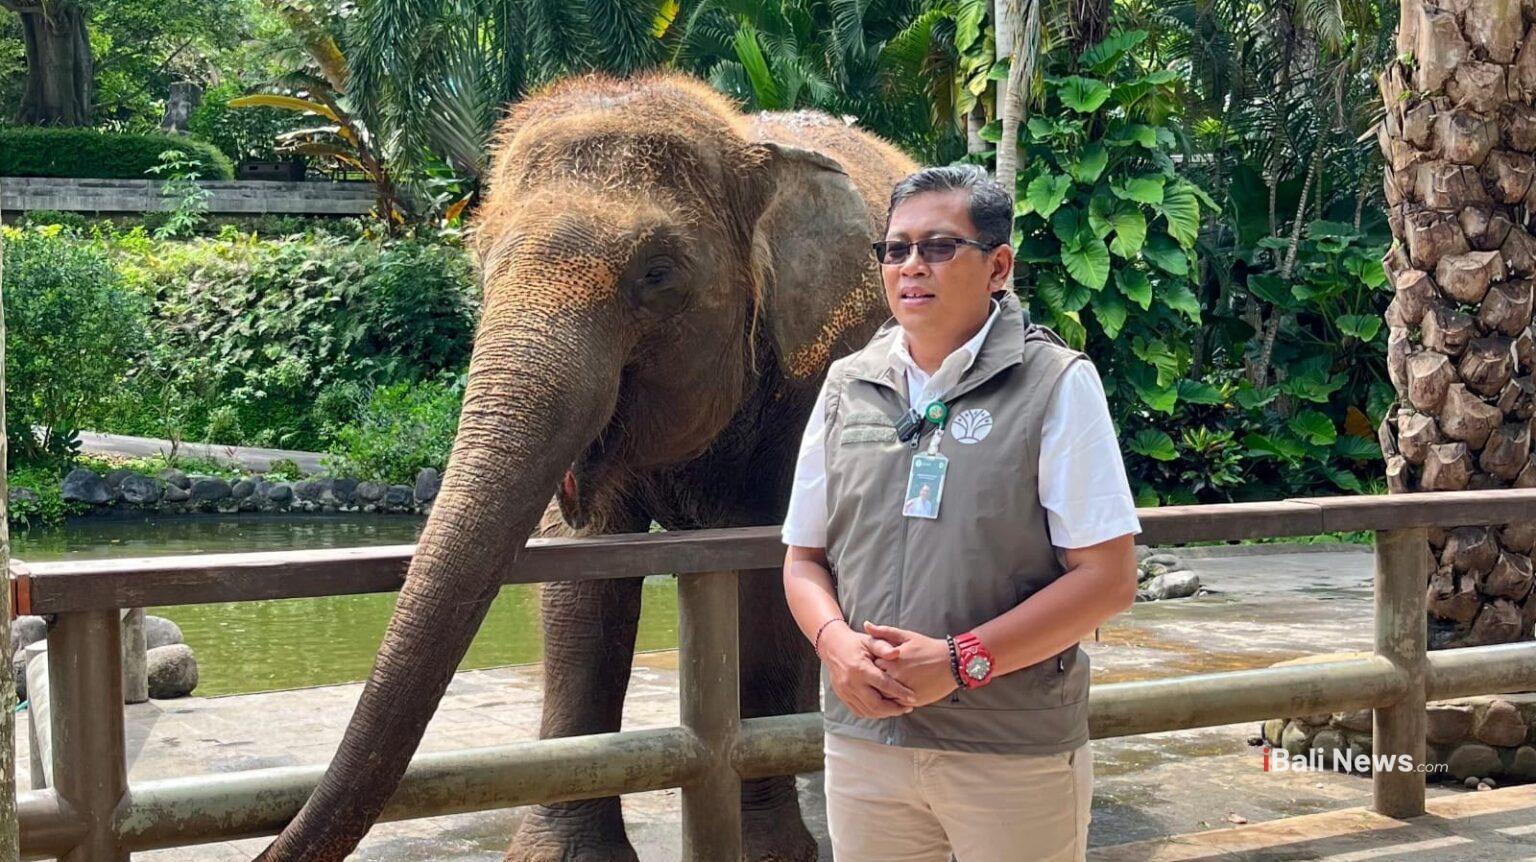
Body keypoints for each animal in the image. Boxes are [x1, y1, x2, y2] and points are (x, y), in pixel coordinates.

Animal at [257, 71, 916, 861]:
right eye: (481, 265)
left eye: (657, 274)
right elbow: (585, 578)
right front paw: (563, 855)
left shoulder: (818, 377)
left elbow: (775, 571)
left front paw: (771, 854)